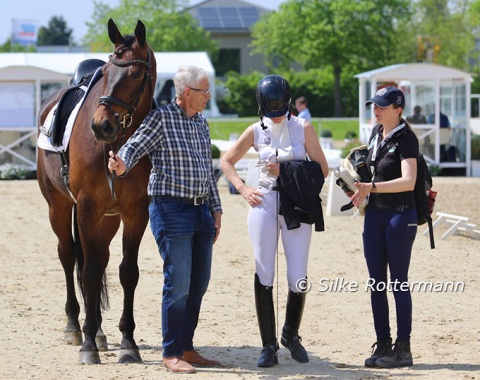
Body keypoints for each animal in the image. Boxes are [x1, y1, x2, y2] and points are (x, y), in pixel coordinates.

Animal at [38, 19, 158, 364]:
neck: (117, 144)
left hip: (108, 218)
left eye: (136, 74)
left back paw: (102, 332)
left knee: (100, 258)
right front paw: (88, 344)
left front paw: (128, 342)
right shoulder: (87, 208)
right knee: (69, 257)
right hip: (59, 207)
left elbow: (127, 272)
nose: (101, 126)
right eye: (104, 72)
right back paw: (75, 327)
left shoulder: (135, 212)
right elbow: (88, 272)